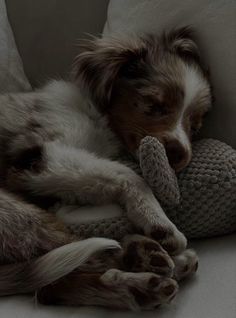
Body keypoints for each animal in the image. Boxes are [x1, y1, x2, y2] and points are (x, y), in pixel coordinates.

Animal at [0, 26, 211, 310]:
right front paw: (159, 222)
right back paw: (151, 262)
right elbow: (128, 174)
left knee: (54, 286)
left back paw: (143, 278)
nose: (180, 154)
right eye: (155, 105)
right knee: (71, 262)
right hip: (16, 214)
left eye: (195, 126)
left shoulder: (59, 176)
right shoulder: (42, 156)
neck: (94, 115)